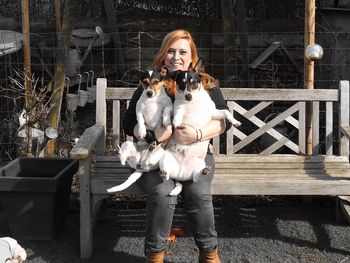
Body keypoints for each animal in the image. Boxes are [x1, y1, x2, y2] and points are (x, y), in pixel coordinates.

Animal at [159, 63, 239, 197]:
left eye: (194, 82)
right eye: (181, 83)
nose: (188, 96)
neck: (194, 102)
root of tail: (181, 176)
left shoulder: (213, 113)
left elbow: (226, 112)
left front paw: (235, 121)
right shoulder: (177, 108)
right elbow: (172, 110)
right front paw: (174, 121)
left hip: (199, 164)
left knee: (196, 178)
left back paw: (204, 171)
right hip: (164, 159)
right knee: (167, 176)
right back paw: (164, 173)